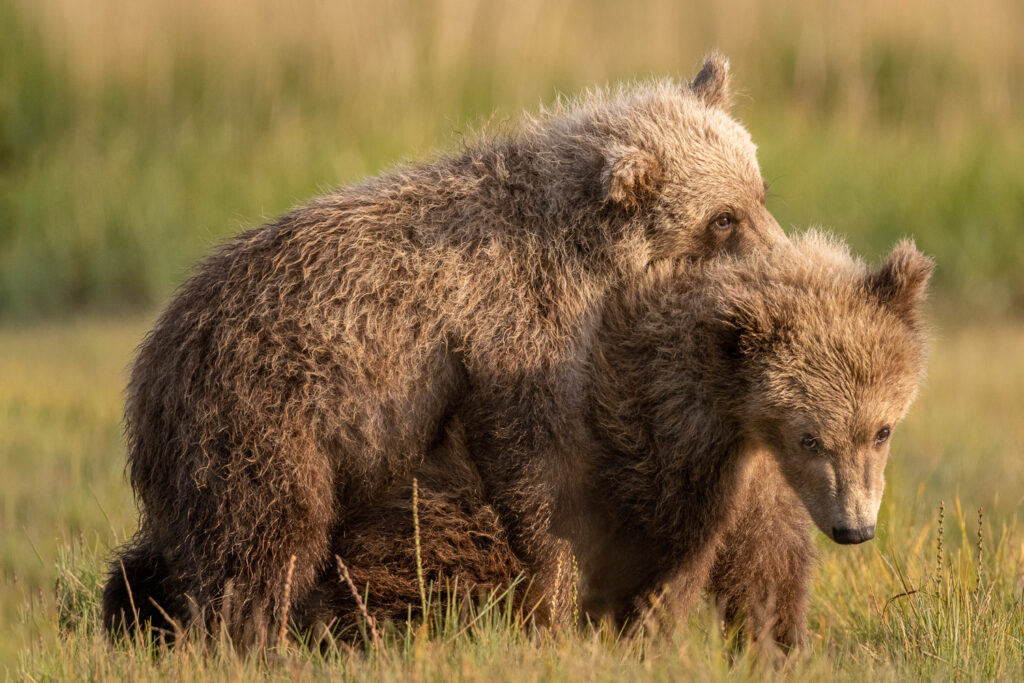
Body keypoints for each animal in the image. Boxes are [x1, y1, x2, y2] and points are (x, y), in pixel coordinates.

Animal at [102, 52, 786, 645]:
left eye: (759, 191)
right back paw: (257, 637)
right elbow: (537, 479)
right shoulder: (515, 336)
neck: (583, 256)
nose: (783, 256)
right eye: (723, 218)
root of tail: (154, 355)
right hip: (268, 419)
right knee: (264, 545)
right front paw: (557, 602)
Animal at [290, 230, 931, 651]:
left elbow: (768, 569)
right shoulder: (664, 457)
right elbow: (668, 567)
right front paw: (644, 642)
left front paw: (775, 645)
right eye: (810, 438)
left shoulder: (755, 480)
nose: (855, 528)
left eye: (881, 430)